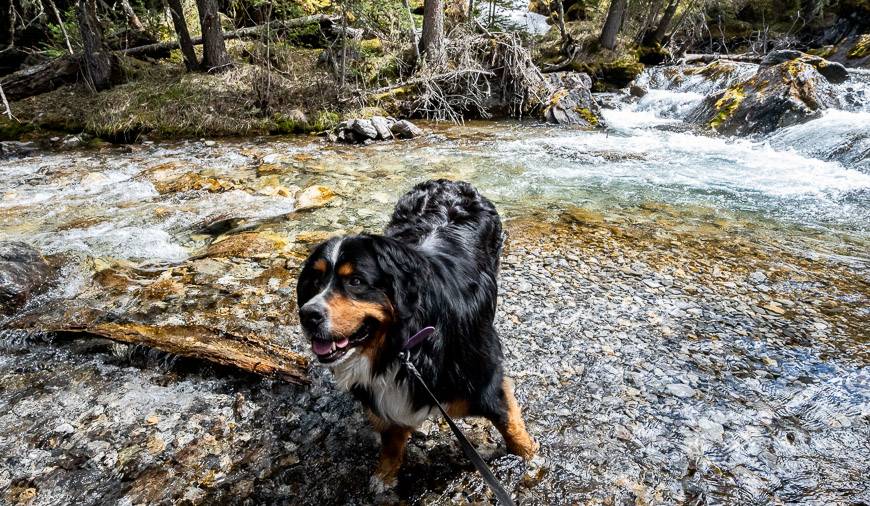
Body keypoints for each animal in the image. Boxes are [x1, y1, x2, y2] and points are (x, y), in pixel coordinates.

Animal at [296, 178, 536, 490]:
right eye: (315, 281)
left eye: (356, 281)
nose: (308, 315)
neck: (407, 346)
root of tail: (450, 182)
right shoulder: (386, 398)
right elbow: (391, 439)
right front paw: (385, 475)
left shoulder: (485, 378)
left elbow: (508, 423)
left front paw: (530, 456)